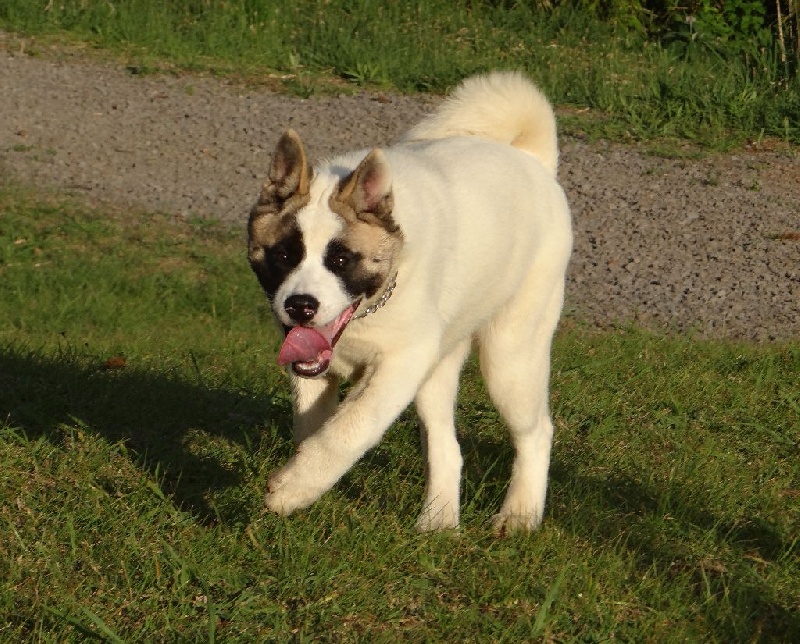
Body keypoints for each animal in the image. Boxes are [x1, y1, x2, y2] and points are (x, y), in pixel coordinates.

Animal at [247, 71, 572, 532]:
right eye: (284, 255)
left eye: (341, 259)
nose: (301, 307)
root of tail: (533, 162)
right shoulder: (314, 367)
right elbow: (312, 426)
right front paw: (304, 481)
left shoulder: (401, 363)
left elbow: (351, 427)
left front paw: (293, 489)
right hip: (440, 366)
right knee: (447, 447)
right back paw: (439, 521)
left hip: (511, 357)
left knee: (537, 431)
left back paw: (520, 515)